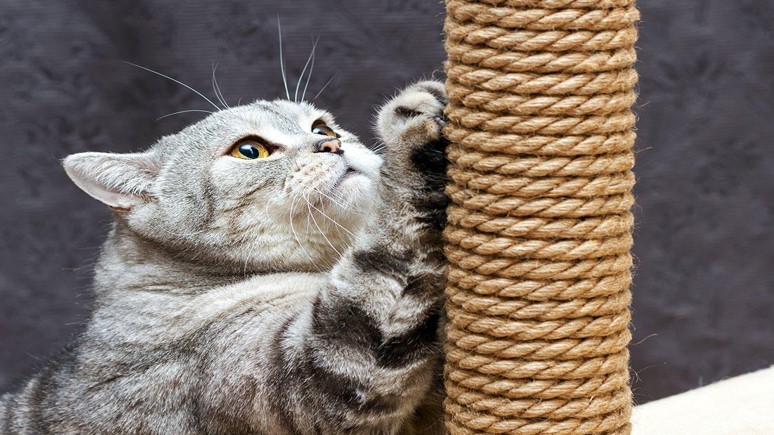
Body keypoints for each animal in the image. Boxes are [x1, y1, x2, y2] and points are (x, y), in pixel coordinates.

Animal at [0, 80, 452, 434]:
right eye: (249, 151)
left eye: (321, 126)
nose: (332, 142)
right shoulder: (325, 374)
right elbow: (394, 239)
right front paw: (413, 125)